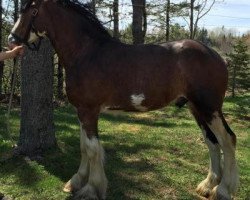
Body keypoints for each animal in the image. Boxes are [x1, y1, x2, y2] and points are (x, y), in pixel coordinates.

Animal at [7, 0, 238, 199]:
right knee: (212, 142)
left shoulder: (89, 111)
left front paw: (92, 189)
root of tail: (215, 55)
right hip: (196, 108)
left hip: (209, 108)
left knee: (227, 140)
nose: (12, 40)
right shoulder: (81, 111)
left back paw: (222, 190)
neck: (86, 53)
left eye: (33, 10)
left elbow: (92, 150)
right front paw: (76, 182)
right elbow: (84, 147)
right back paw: (207, 185)